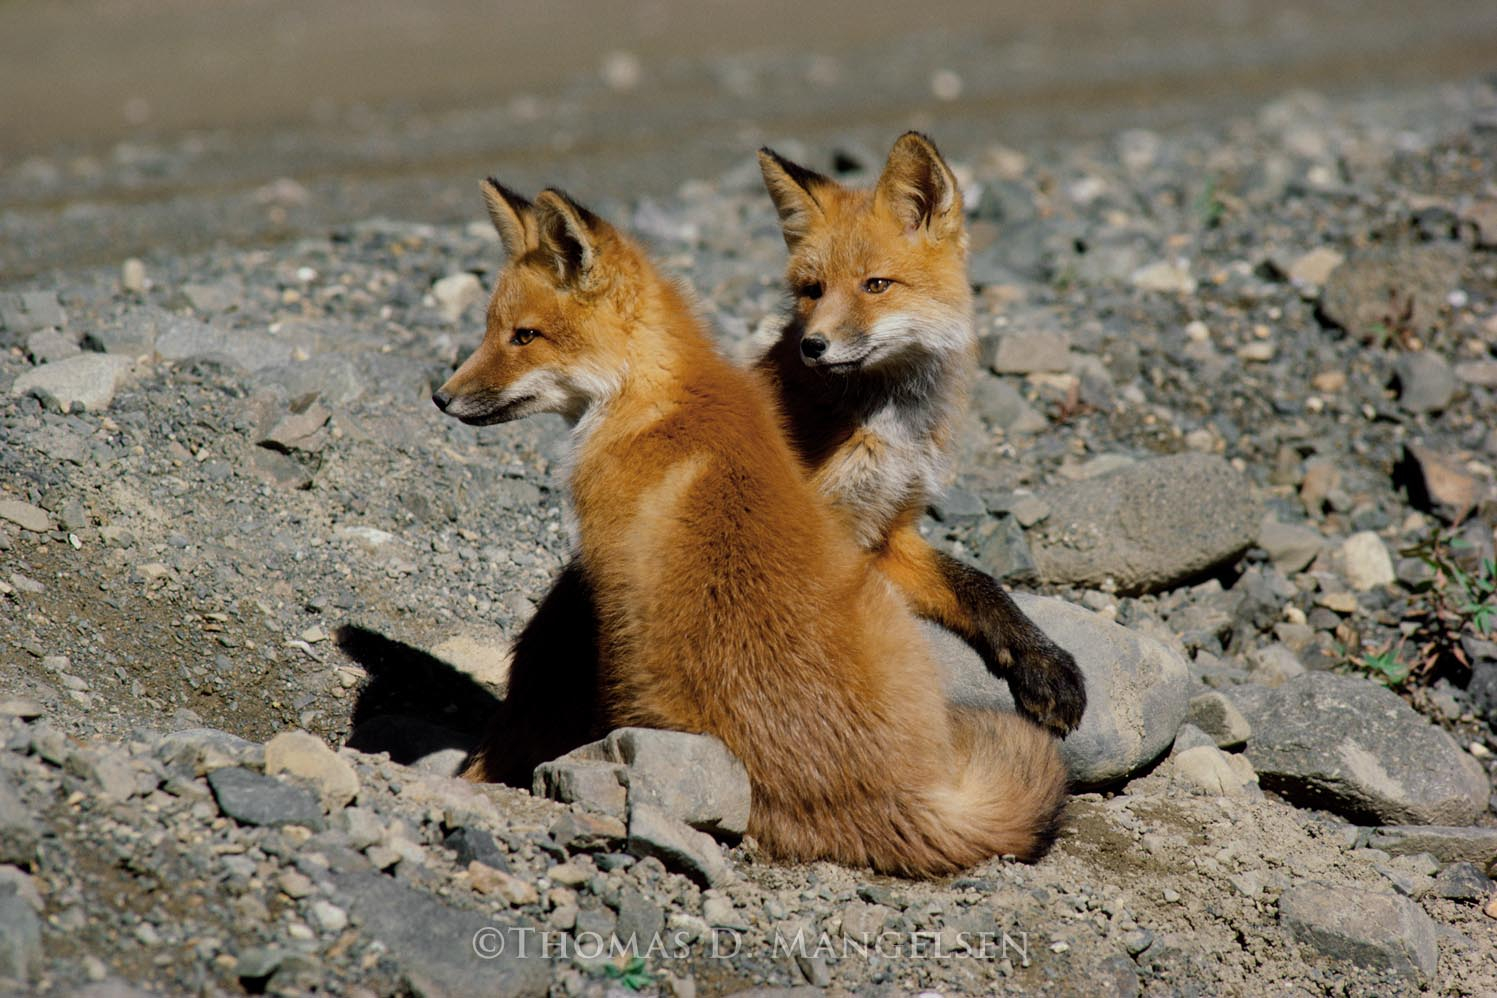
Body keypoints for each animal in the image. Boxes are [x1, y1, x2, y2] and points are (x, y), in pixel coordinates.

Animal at [753, 132, 1087, 736]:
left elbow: (979, 584)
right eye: (812, 291)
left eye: (876, 285)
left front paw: (1042, 661)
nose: (812, 346)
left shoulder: (889, 531)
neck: (888, 432)